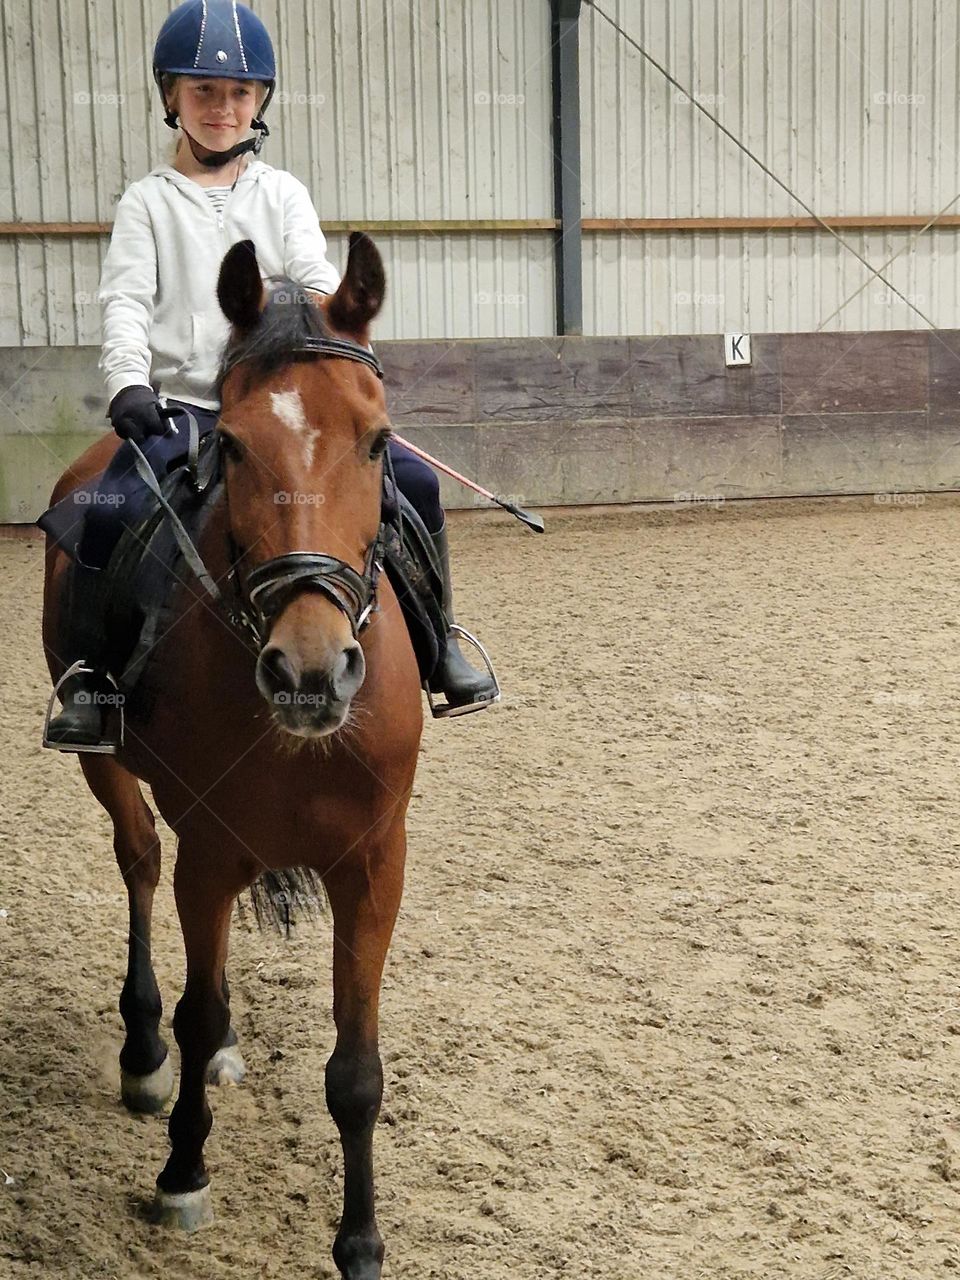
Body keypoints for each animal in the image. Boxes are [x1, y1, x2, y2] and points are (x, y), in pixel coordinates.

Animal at [41, 233, 423, 1279]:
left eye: (378, 441)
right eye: (241, 445)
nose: (310, 669)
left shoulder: (374, 862)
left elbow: (356, 1067)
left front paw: (361, 1242)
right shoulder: (210, 853)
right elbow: (198, 1004)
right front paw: (182, 1172)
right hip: (107, 768)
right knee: (138, 861)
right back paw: (143, 1056)